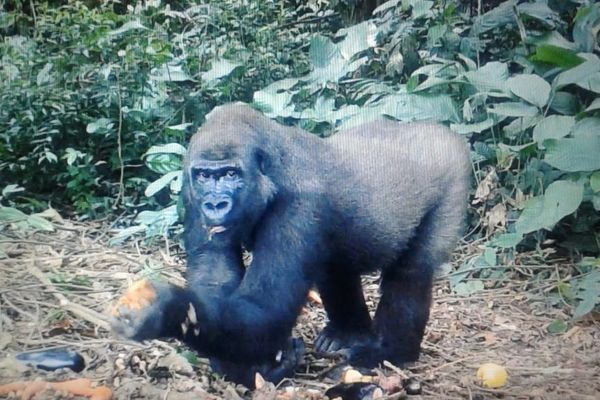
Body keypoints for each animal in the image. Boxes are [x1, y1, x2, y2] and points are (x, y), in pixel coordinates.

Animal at [110, 103, 472, 388]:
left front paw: (165, 307)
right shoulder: (189, 190)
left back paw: (388, 352)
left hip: (452, 168)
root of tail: (431, 127)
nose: (215, 205)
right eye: (205, 176)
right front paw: (251, 367)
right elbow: (216, 288)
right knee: (335, 268)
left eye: (231, 174)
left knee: (412, 272)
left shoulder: (301, 203)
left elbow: (265, 308)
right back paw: (348, 333)